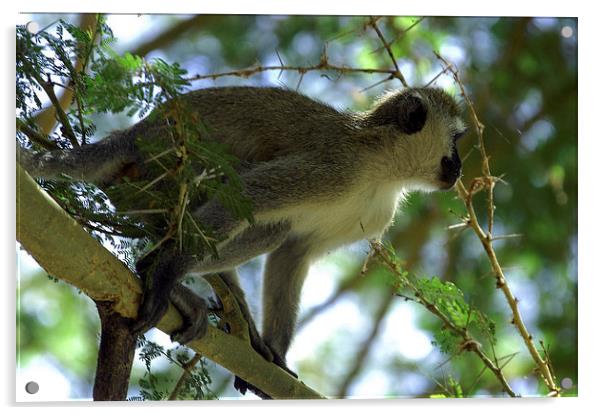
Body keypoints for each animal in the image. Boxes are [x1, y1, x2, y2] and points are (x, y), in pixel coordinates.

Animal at [17, 87, 464, 396]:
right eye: (457, 142)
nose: (459, 167)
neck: (382, 169)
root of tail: (134, 134)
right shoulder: (336, 167)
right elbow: (247, 192)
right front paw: (166, 272)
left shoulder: (371, 215)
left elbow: (292, 252)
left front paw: (277, 359)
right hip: (162, 171)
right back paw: (163, 275)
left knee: (272, 230)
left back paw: (236, 315)